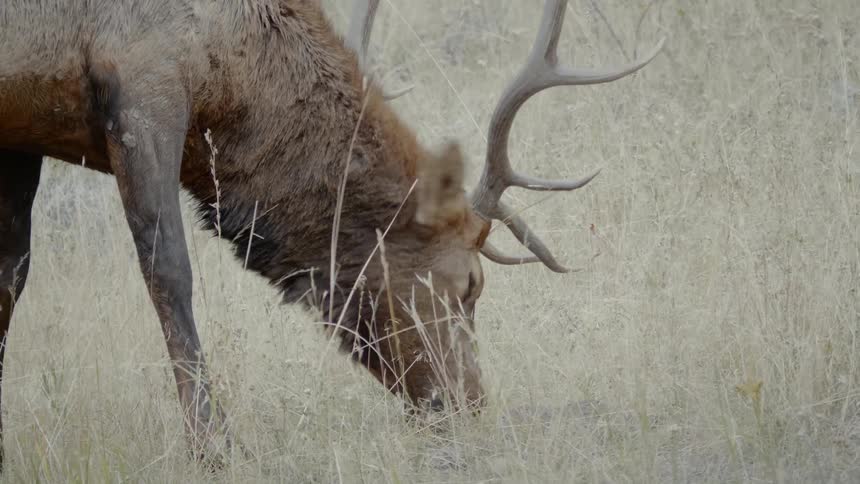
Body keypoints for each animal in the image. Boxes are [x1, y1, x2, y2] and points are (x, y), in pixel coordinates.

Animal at [0, 0, 663, 464]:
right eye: (470, 285)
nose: (471, 403)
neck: (235, 61)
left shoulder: (21, 126)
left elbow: (12, 278)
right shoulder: (144, 87)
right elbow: (168, 273)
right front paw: (214, 447)